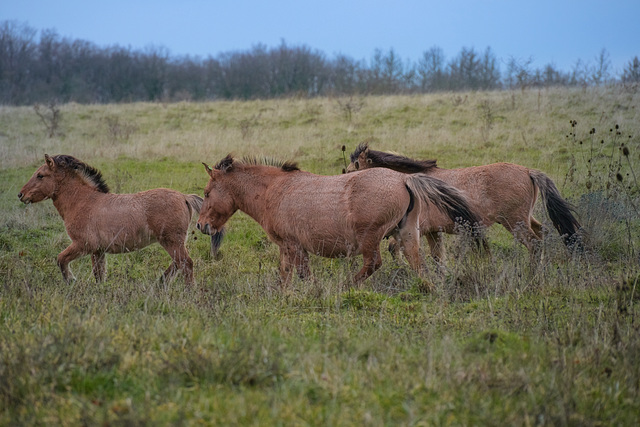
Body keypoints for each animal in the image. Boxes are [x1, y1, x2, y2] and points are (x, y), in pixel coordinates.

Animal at [17, 154, 222, 284]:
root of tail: (183, 197)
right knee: (178, 264)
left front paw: (71, 280)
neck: (83, 201)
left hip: (171, 241)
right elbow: (99, 275)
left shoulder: (83, 245)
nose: (21, 195)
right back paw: (160, 283)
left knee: (186, 264)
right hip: (175, 242)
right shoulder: (98, 251)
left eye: (40, 175)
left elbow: (61, 259)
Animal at [198, 154, 482, 288]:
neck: (274, 189)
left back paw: (346, 286)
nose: (201, 225)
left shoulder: (295, 246)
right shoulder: (286, 248)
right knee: (419, 265)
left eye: (207, 192)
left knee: (373, 264)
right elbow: (284, 276)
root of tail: (404, 179)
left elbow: (303, 275)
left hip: (370, 238)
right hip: (408, 235)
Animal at [348, 142, 584, 260]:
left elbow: (395, 248)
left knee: (534, 244)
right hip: (526, 218)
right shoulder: (433, 232)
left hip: (514, 222)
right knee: (542, 233)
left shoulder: (415, 229)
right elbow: (437, 257)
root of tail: (528, 171)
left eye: (353, 170)